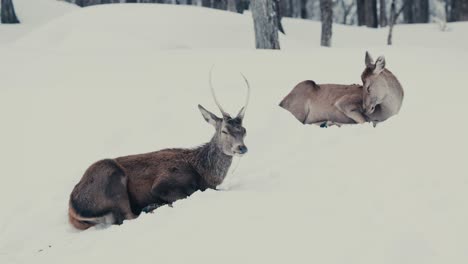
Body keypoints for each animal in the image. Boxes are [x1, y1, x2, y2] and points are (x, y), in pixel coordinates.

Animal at [68, 70, 250, 229]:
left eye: (244, 130)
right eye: (224, 131)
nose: (242, 148)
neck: (204, 173)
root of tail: (73, 209)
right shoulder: (164, 183)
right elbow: (182, 194)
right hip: (112, 178)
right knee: (128, 217)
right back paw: (150, 207)